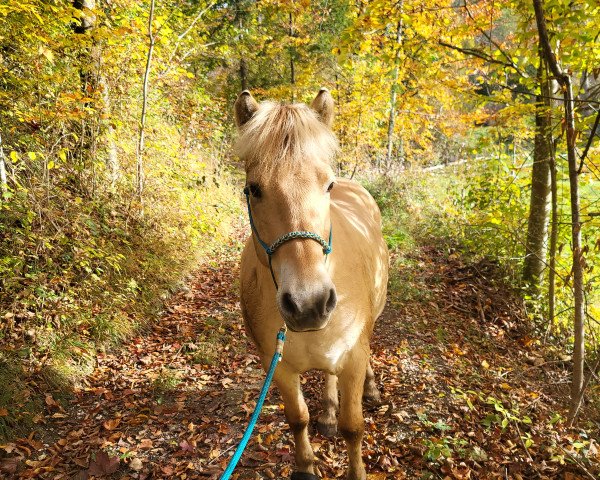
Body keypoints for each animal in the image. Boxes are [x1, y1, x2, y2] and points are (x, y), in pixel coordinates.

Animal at [234, 87, 390, 480]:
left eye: (328, 184)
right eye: (253, 189)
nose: (309, 303)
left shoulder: (353, 357)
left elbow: (354, 427)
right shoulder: (278, 365)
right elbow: (297, 419)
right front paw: (305, 465)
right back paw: (329, 412)